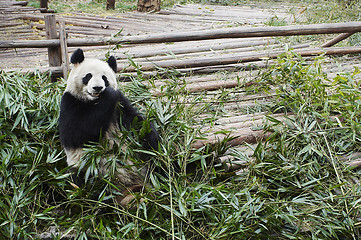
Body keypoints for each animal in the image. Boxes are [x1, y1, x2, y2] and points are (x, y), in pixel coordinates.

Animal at [58, 48, 158, 202]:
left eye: (104, 77)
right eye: (88, 76)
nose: (98, 88)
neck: (94, 101)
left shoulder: (119, 105)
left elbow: (135, 122)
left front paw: (151, 139)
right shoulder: (70, 102)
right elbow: (76, 133)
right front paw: (107, 94)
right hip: (89, 170)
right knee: (84, 185)